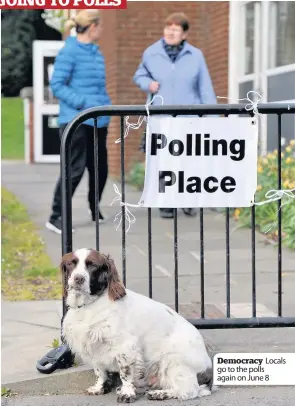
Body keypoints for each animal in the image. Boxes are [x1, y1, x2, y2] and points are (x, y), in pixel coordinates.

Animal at [62, 247, 215, 402]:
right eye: (71, 264)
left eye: (92, 265)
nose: (78, 278)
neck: (89, 305)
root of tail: (209, 370)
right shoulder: (93, 345)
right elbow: (99, 371)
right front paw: (99, 388)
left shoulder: (125, 347)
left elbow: (125, 373)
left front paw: (127, 393)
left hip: (173, 361)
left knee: (189, 391)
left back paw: (158, 393)